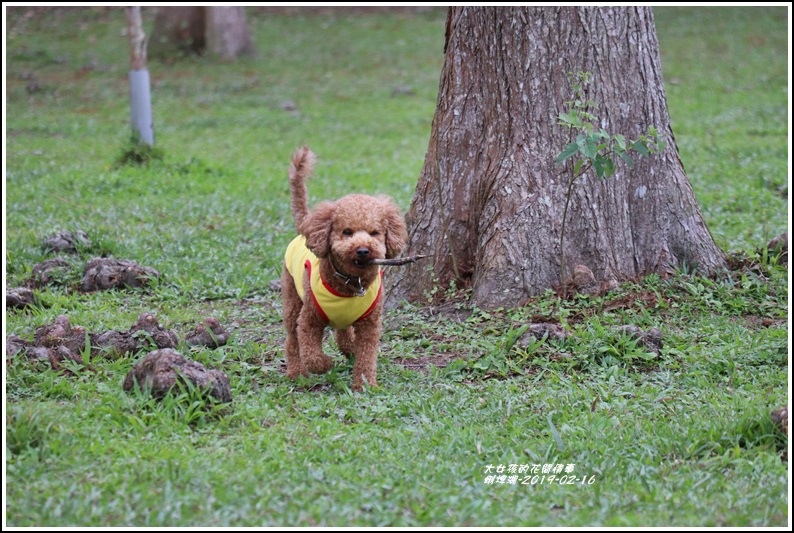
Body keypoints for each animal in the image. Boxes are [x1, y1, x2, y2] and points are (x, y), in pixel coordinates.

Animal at [280, 145, 406, 390]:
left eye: (374, 233)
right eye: (347, 232)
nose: (363, 250)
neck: (350, 284)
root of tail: (305, 226)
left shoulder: (370, 324)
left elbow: (367, 355)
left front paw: (365, 384)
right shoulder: (309, 320)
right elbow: (312, 354)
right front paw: (326, 364)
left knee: (342, 332)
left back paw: (348, 348)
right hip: (292, 298)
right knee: (292, 338)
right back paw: (296, 372)